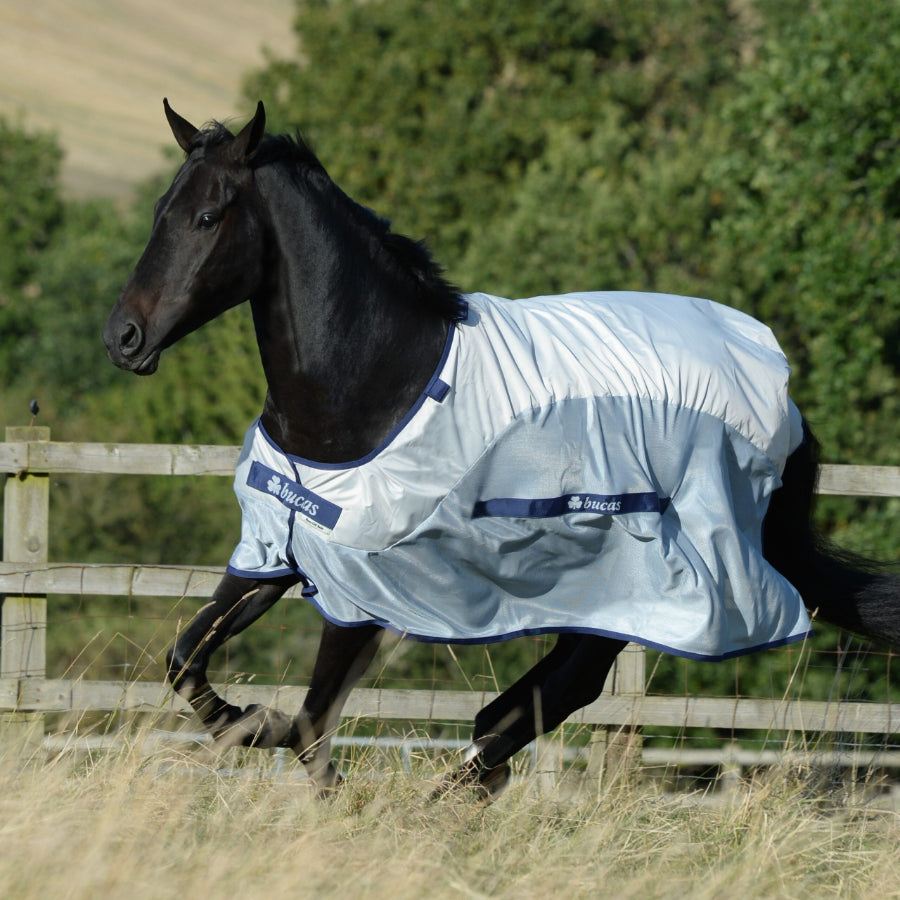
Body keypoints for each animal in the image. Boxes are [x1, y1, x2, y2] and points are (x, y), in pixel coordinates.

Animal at [104, 100, 900, 798]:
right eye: (160, 211)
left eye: (209, 217)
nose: (123, 338)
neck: (374, 384)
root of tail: (784, 397)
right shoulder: (278, 551)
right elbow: (186, 660)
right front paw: (240, 722)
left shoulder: (364, 588)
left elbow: (309, 722)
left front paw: (286, 751)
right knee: (555, 686)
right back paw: (473, 776)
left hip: (651, 572)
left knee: (571, 681)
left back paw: (459, 788)